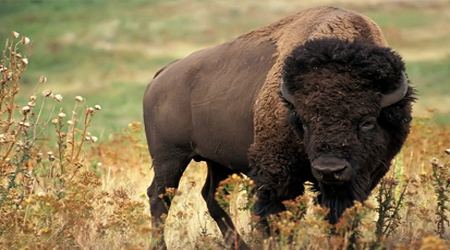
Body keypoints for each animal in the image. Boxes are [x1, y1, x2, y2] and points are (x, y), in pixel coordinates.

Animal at [143, 5, 414, 248]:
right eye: (303, 121)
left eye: (368, 121)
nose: (329, 170)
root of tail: (162, 75)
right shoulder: (277, 173)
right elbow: (278, 215)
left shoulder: (364, 175)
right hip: (170, 157)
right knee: (160, 197)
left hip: (217, 161)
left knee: (212, 197)